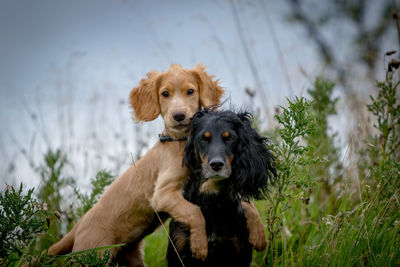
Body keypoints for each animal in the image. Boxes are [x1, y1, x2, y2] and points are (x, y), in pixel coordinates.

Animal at [166, 110, 276, 266]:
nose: (216, 165)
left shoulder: (238, 249)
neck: (212, 205)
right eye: (204, 138)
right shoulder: (178, 250)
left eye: (229, 138)